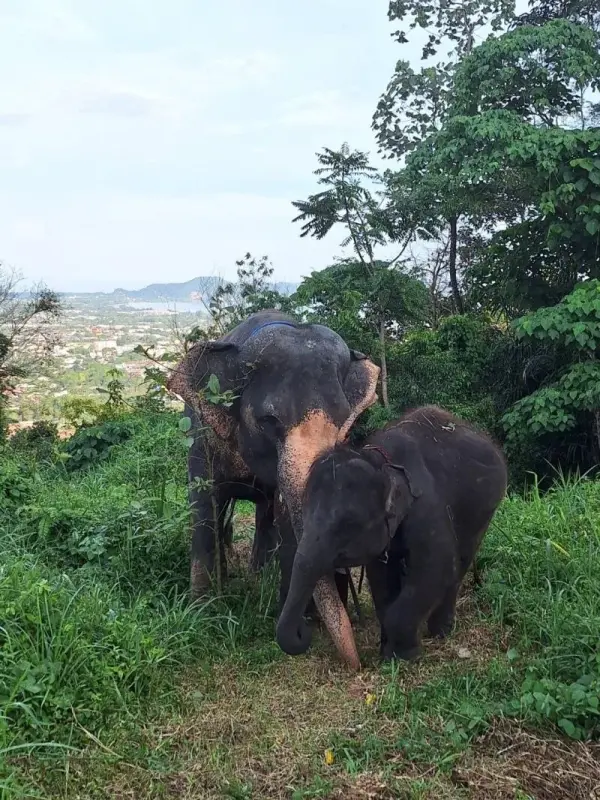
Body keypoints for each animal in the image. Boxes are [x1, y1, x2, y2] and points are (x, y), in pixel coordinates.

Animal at [167, 310, 380, 669]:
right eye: (269, 421)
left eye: (344, 423)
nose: (359, 664)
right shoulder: (201, 432)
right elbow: (204, 504)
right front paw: (202, 612)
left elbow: (285, 520)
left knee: (264, 515)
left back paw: (257, 575)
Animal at [276, 405, 507, 664]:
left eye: (348, 524)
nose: (304, 629)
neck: (381, 462)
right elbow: (380, 577)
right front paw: (386, 652)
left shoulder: (427, 507)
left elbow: (435, 569)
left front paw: (403, 656)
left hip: (485, 509)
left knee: (460, 561)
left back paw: (441, 632)